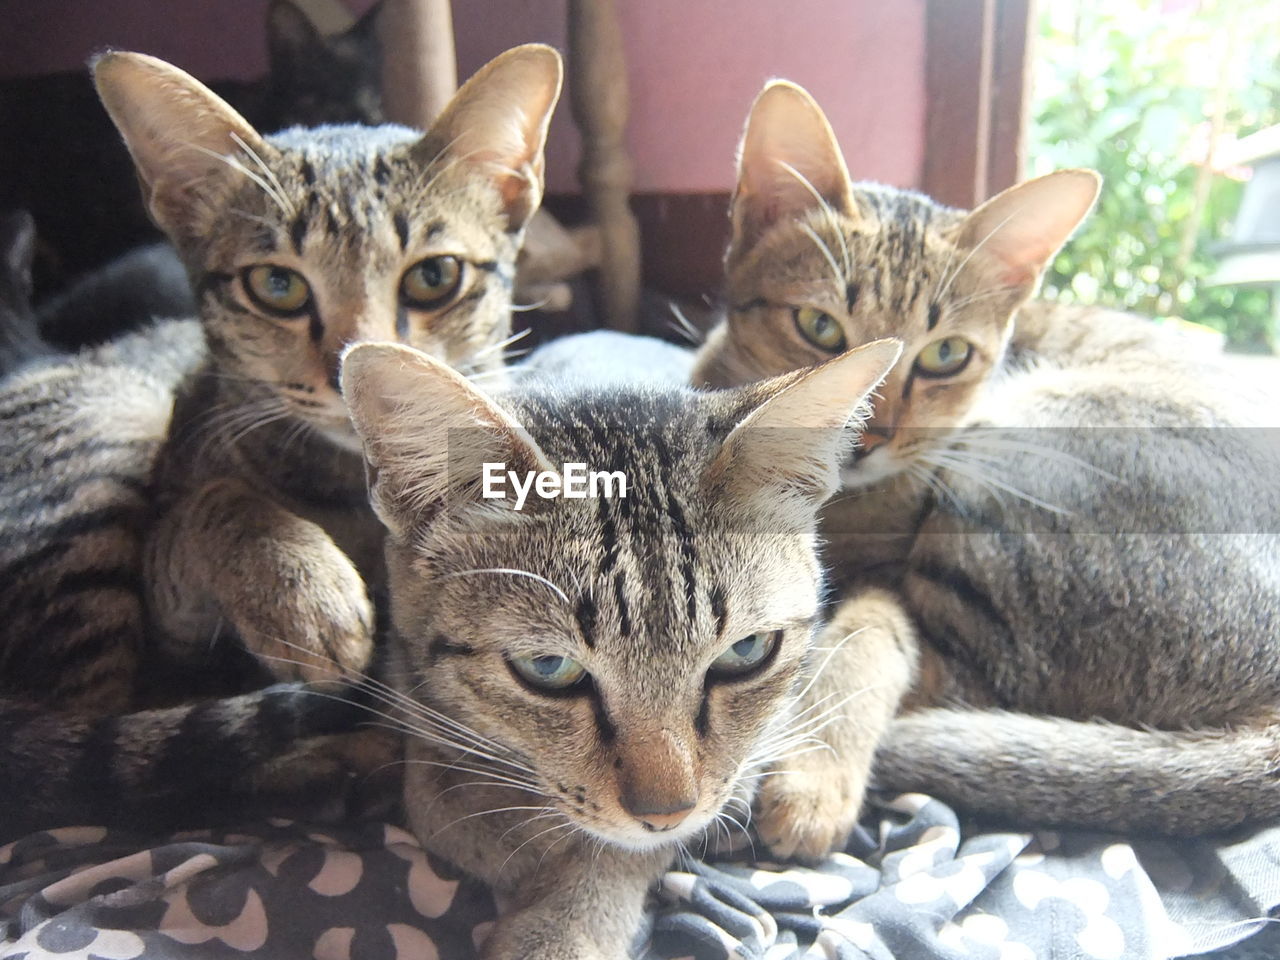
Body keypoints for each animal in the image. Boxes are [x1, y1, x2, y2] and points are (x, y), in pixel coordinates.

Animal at [0, 43, 560, 839]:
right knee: (96, 772)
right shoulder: (172, 616)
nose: (354, 362)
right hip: (109, 429)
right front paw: (300, 589)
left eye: (434, 276)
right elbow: (218, 502)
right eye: (277, 286)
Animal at [340, 335, 901, 957]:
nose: (667, 812)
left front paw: (563, 925)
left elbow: (613, 852)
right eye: (548, 666)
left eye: (747, 652)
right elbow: (438, 795)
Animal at [696, 79, 1280, 855]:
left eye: (946, 355)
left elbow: (854, 639)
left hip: (1018, 477)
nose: (870, 436)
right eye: (819, 327)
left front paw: (808, 774)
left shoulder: (890, 580)